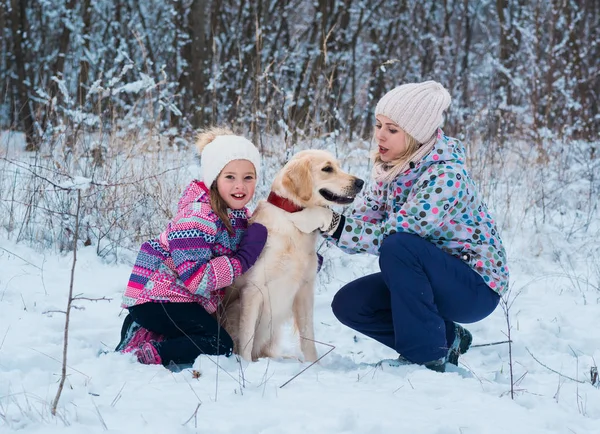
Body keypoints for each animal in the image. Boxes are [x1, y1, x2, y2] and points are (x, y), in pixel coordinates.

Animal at [218, 150, 364, 362]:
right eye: (327, 169)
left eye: (338, 166)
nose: (360, 182)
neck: (292, 218)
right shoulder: (252, 291)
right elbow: (246, 340)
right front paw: (246, 366)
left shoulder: (304, 290)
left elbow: (308, 337)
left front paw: (314, 365)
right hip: (234, 308)